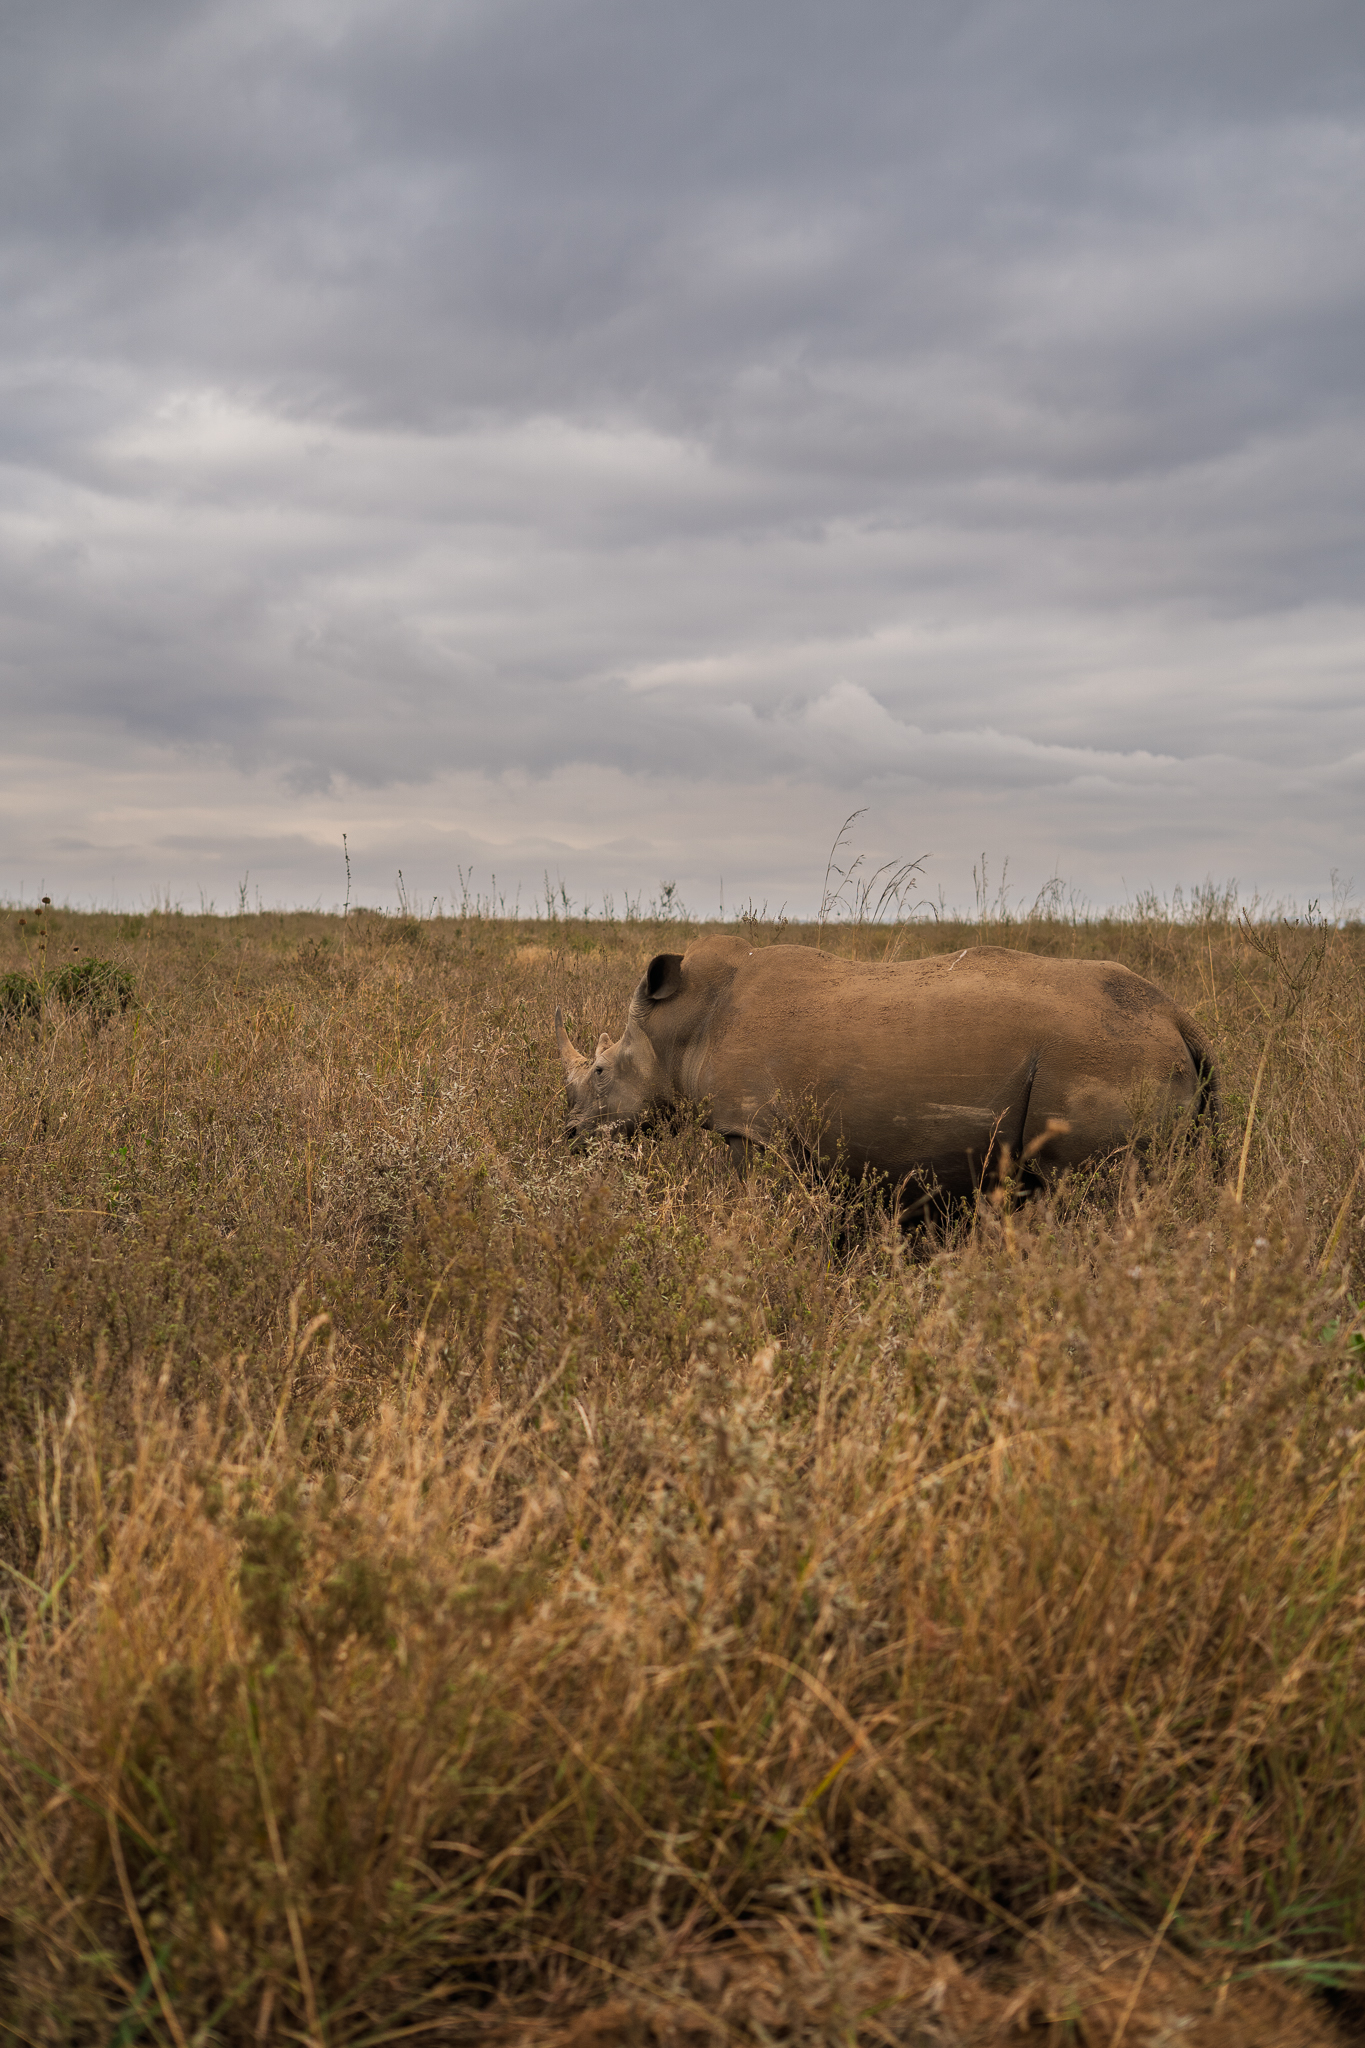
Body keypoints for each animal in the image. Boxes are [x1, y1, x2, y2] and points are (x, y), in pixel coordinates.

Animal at [554, 936, 1218, 1197]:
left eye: (600, 1073)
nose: (568, 1136)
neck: (683, 1024)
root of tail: (1178, 1018)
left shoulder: (751, 1128)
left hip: (1103, 1056)